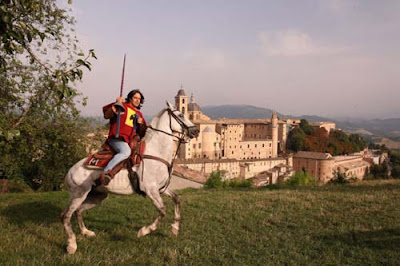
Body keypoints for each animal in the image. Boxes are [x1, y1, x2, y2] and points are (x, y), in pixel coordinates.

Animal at [60, 101, 200, 254]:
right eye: (180, 115)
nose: (196, 131)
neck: (155, 152)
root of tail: (69, 172)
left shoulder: (160, 188)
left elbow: (176, 199)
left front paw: (174, 228)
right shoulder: (150, 189)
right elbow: (162, 210)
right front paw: (144, 231)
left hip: (97, 196)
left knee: (78, 211)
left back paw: (86, 232)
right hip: (79, 194)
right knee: (66, 216)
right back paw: (71, 245)